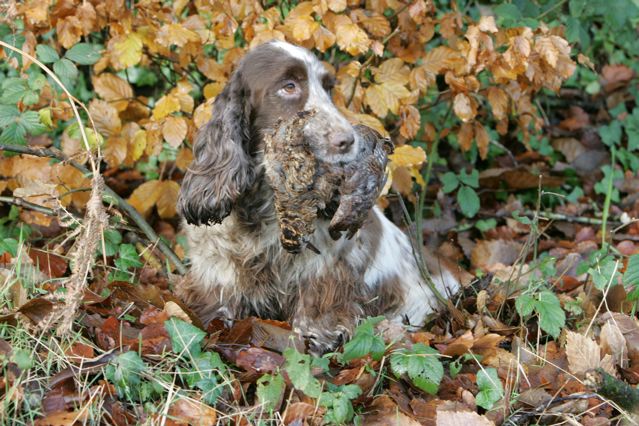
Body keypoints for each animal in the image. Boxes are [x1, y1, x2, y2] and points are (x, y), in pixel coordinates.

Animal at [178, 40, 462, 352]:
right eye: (289, 86)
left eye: (328, 88)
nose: (348, 140)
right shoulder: (219, 260)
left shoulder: (326, 264)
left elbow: (317, 303)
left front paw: (313, 338)